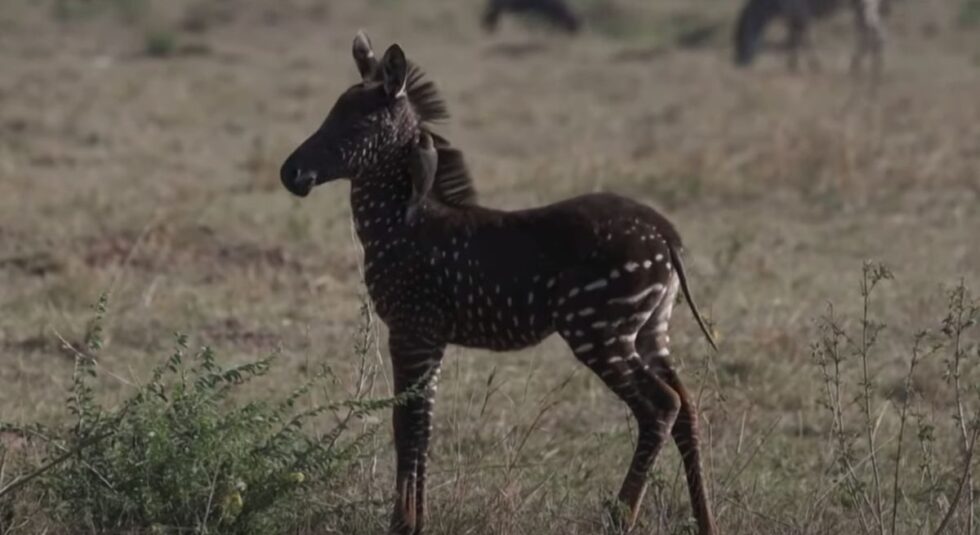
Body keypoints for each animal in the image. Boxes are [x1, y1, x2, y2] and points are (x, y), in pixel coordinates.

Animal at [280, 31, 716, 532]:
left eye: (357, 122)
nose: (290, 173)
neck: (398, 223)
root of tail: (663, 231)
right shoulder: (429, 336)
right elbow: (423, 426)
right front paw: (417, 519)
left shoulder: (411, 329)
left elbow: (406, 426)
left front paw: (403, 524)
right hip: (650, 329)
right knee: (686, 406)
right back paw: (705, 521)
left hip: (599, 332)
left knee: (660, 406)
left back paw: (619, 516)